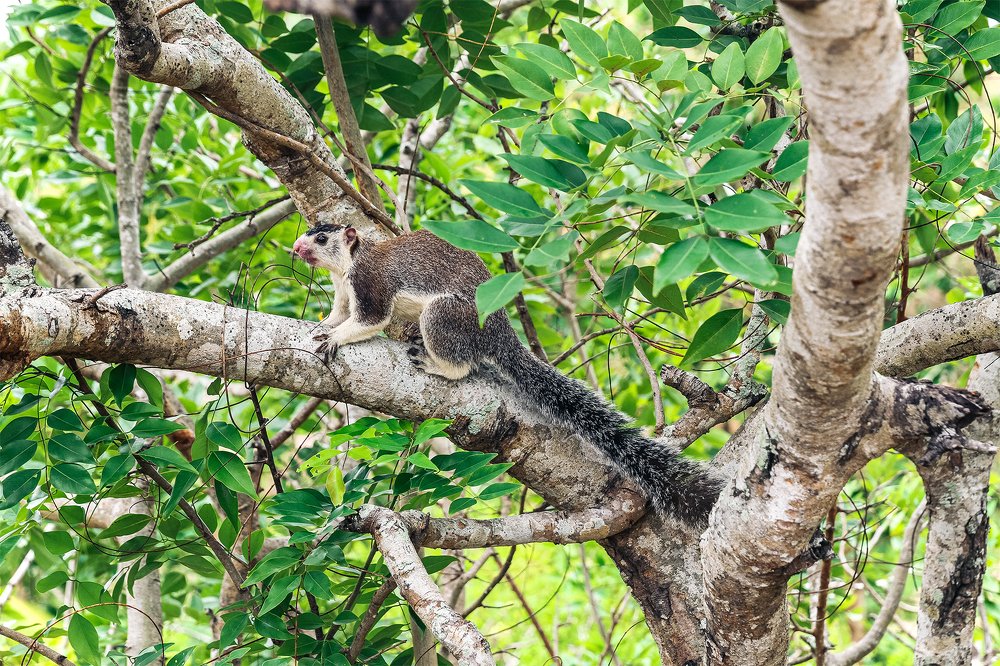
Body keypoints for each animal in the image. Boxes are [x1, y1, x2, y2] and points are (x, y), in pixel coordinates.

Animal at [292, 224, 722, 524]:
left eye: (322, 237)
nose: (296, 248)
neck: (346, 268)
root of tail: (500, 334)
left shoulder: (370, 284)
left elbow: (370, 320)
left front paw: (334, 338)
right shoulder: (343, 292)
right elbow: (338, 314)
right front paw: (323, 326)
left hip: (446, 316)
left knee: (460, 362)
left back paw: (435, 362)